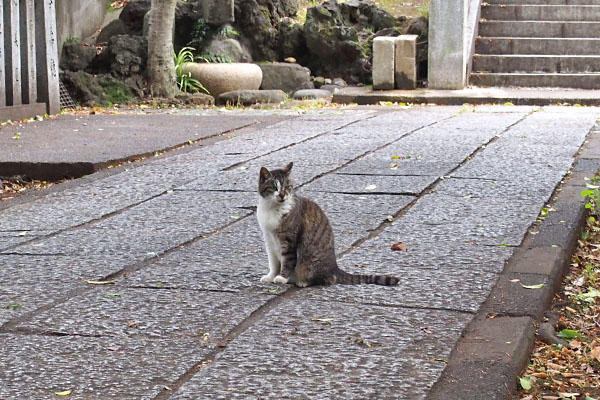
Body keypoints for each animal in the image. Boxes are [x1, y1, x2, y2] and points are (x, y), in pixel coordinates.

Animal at [254, 162, 398, 288]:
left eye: (287, 187)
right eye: (274, 187)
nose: (282, 195)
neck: (272, 208)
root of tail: (335, 267)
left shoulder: (288, 240)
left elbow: (287, 261)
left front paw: (282, 278)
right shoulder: (269, 239)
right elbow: (273, 263)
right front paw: (271, 276)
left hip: (310, 263)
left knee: (328, 279)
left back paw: (303, 282)